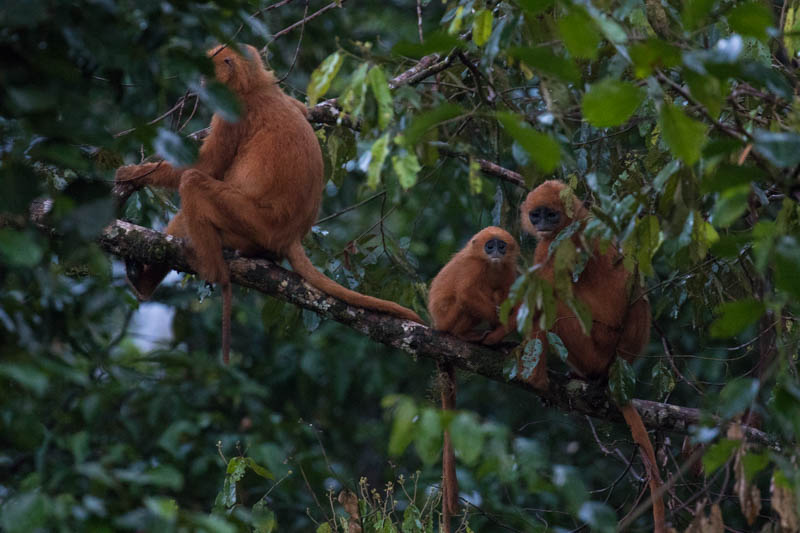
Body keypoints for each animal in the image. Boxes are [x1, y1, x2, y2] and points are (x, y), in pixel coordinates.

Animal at [117, 45, 424, 364]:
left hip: (253, 222)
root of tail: (291, 235)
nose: (200, 81)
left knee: (192, 182)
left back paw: (214, 272)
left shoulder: (231, 112)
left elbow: (206, 166)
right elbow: (304, 112)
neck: (254, 86)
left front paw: (132, 174)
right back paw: (145, 282)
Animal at [428, 227, 520, 528]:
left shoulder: (508, 269)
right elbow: (466, 293)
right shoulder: (472, 267)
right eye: (489, 246)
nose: (496, 252)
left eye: (501, 245)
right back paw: (468, 336)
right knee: (465, 299)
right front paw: (500, 326)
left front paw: (502, 333)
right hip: (449, 320)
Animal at [520, 180, 664, 532]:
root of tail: (617, 362)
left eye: (550, 214)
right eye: (536, 214)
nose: (542, 224)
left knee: (554, 301)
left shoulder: (554, 246)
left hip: (591, 347)